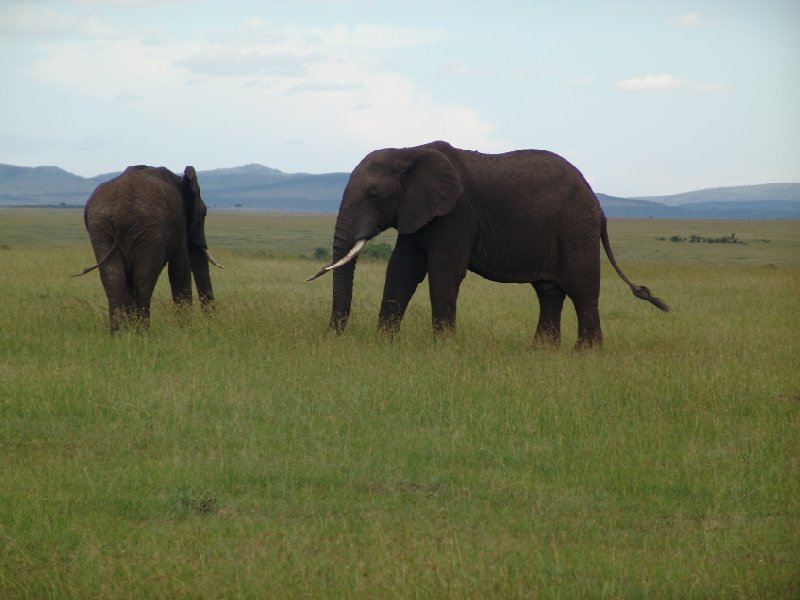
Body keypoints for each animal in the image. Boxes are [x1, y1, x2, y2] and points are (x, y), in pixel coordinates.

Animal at [76, 165, 223, 332]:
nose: (212, 325)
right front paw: (185, 330)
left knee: (113, 278)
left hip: (101, 228)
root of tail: (121, 212)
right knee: (144, 279)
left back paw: (119, 333)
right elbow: (180, 270)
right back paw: (143, 332)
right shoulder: (180, 224)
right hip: (150, 230)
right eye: (204, 213)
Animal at [308, 141, 668, 346]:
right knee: (549, 292)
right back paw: (541, 352)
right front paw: (384, 344)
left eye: (372, 195)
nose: (331, 337)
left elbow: (443, 273)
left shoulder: (456, 214)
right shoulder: (417, 211)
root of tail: (599, 208)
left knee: (582, 290)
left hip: (576, 229)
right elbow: (401, 270)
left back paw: (586, 354)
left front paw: (444, 350)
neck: (407, 151)